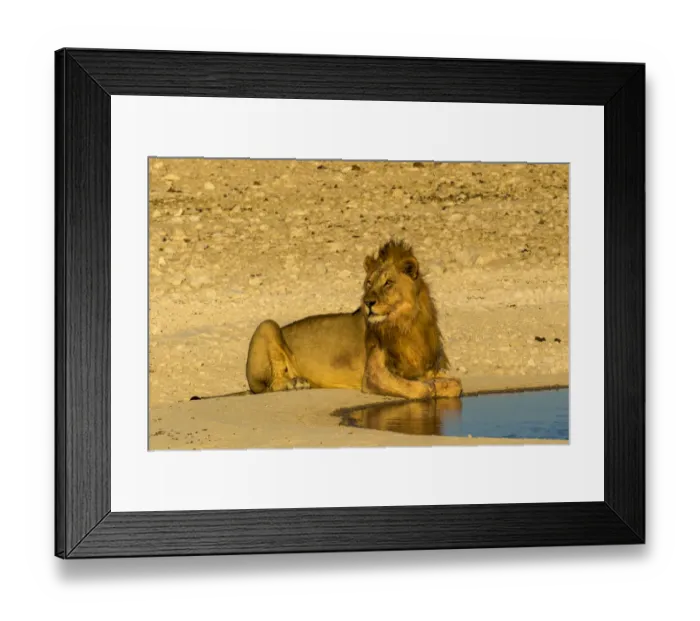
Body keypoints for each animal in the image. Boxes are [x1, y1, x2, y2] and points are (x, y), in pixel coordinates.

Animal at [245, 239, 462, 399]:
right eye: (369, 283)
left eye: (388, 283)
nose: (368, 302)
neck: (406, 324)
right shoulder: (374, 375)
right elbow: (421, 389)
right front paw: (432, 386)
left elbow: (457, 385)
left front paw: (444, 384)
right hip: (267, 325)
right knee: (270, 385)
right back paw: (295, 382)